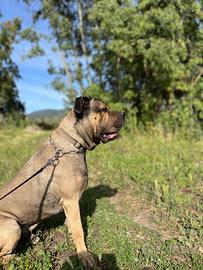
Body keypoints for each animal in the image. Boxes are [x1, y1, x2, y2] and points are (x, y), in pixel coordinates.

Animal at [0, 97, 125, 268]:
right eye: (103, 110)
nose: (124, 113)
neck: (73, 142)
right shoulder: (71, 201)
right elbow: (79, 230)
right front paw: (84, 255)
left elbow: (72, 224)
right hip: (11, 227)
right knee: (3, 256)